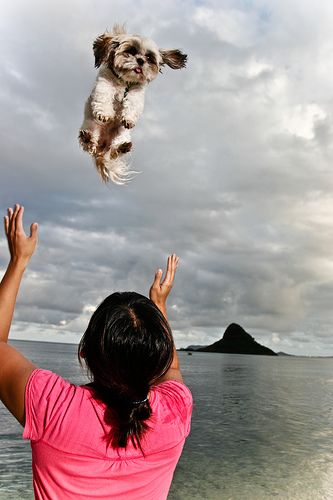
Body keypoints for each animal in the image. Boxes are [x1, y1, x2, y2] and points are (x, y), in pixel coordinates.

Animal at [78, 23, 187, 184]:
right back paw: (87, 139)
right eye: (130, 51)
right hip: (92, 129)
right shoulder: (105, 83)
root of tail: (103, 147)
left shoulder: (137, 92)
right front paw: (105, 114)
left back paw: (123, 147)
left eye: (149, 57)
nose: (140, 60)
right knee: (90, 145)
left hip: (121, 136)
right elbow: (104, 96)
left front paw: (128, 119)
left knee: (115, 152)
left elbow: (133, 104)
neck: (125, 82)